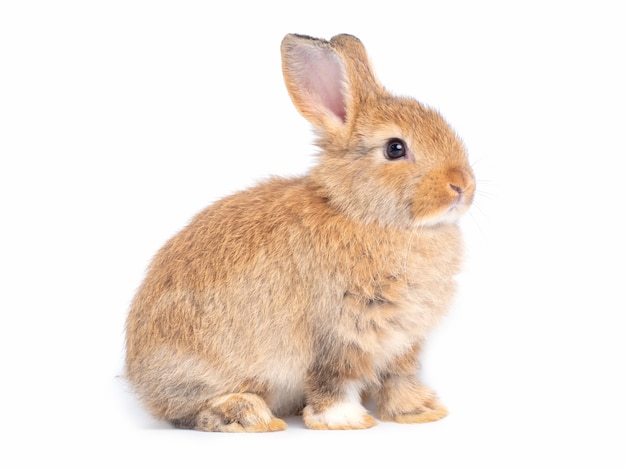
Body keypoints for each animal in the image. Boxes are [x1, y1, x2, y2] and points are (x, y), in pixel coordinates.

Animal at [125, 33, 472, 432]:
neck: (362, 213)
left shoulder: (402, 342)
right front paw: (345, 421)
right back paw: (249, 415)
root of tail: (139, 379)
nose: (462, 185)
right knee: (192, 409)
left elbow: (398, 377)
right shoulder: (337, 333)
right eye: (395, 148)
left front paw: (420, 412)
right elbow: (334, 379)